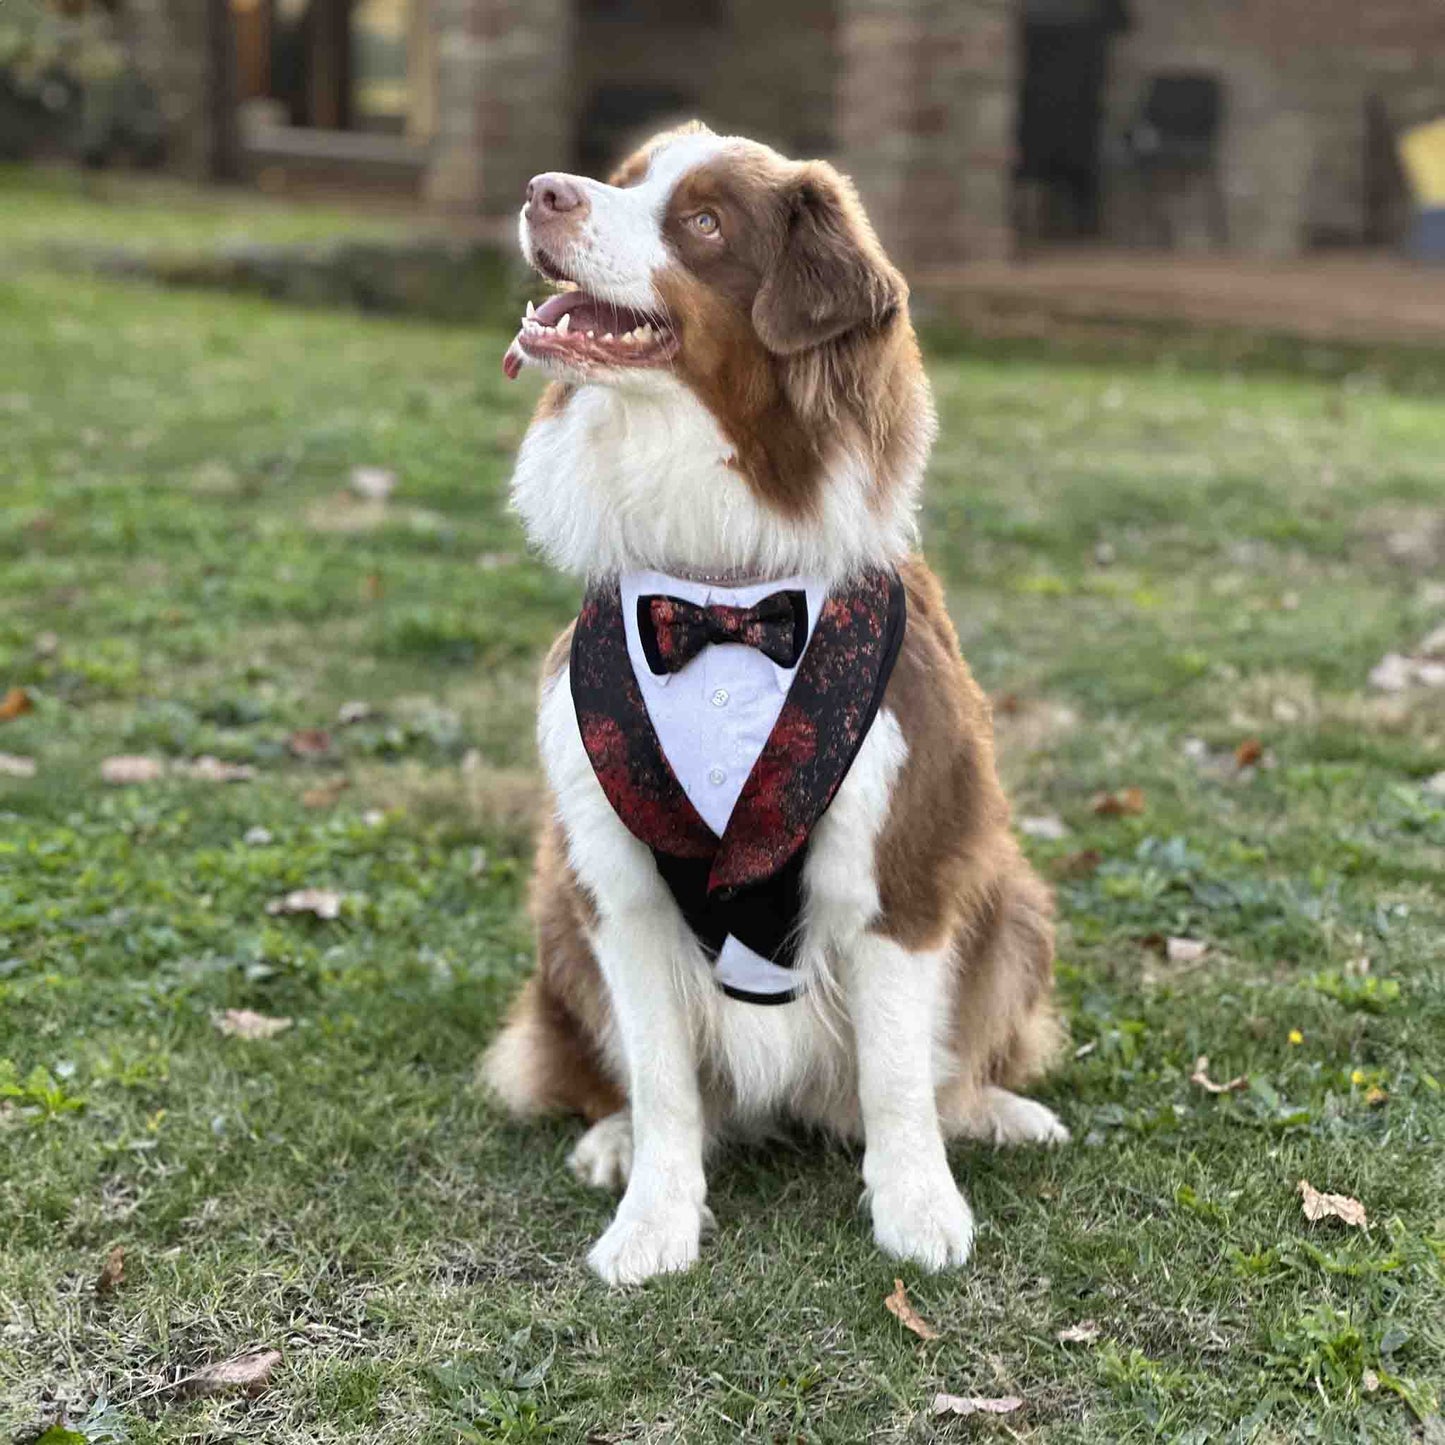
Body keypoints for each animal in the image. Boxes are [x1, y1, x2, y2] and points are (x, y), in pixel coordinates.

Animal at [482, 118, 1063, 1283]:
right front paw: (654, 1222)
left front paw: (917, 1207)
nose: (543, 190)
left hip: (1013, 901)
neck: (722, 596)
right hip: (557, 911)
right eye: (623, 180)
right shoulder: (615, 886)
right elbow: (663, 1080)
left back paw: (991, 1112)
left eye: (703, 223)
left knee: (937, 1065)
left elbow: (896, 1074)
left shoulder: (899, 867)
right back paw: (609, 1136)